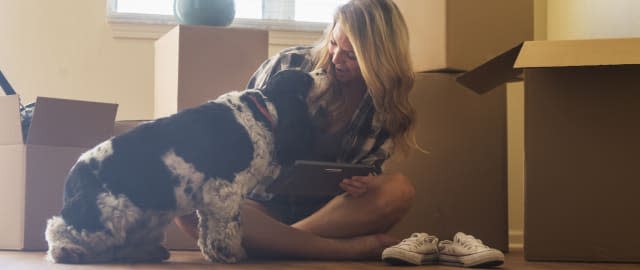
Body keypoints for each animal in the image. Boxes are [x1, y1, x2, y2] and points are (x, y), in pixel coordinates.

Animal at [44, 69, 328, 264]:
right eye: (307, 78)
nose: (324, 71)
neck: (262, 111)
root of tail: (75, 174)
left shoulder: (212, 196)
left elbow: (209, 228)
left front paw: (214, 253)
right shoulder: (226, 189)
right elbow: (229, 226)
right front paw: (231, 253)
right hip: (108, 213)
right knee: (58, 226)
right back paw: (67, 251)